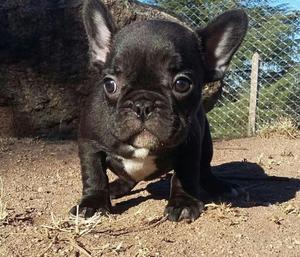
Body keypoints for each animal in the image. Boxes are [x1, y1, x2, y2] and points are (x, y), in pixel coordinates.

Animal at [71, 0, 248, 220]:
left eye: (182, 84)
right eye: (110, 84)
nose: (142, 105)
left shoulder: (190, 145)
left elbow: (185, 174)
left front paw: (183, 202)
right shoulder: (90, 143)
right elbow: (94, 174)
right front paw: (93, 203)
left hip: (206, 142)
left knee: (205, 169)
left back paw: (220, 186)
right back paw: (116, 188)